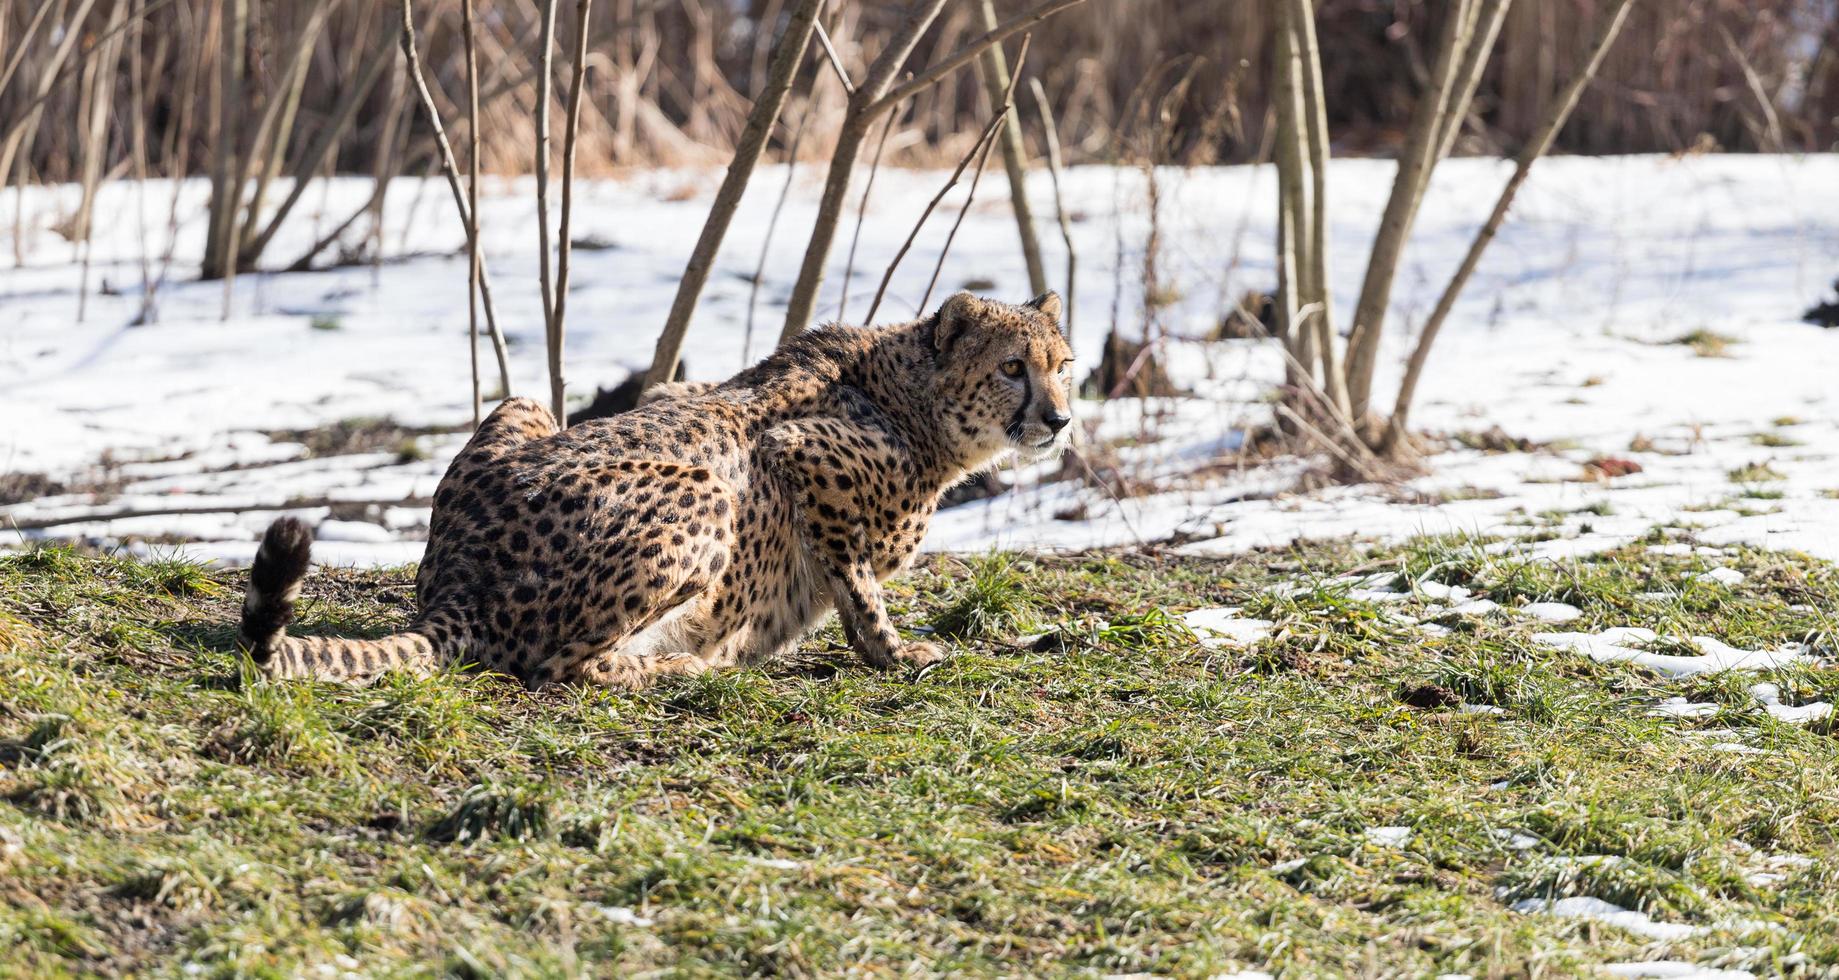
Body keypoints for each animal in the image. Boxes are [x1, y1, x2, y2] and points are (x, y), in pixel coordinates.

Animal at [240, 292, 1073, 687]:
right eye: (1010, 367)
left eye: (1062, 364)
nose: (1061, 419)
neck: (914, 397)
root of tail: (458, 584)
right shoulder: (801, 454)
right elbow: (859, 585)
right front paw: (896, 653)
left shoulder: (677, 387)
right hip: (705, 493)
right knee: (561, 666)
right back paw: (683, 665)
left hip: (522, 406)